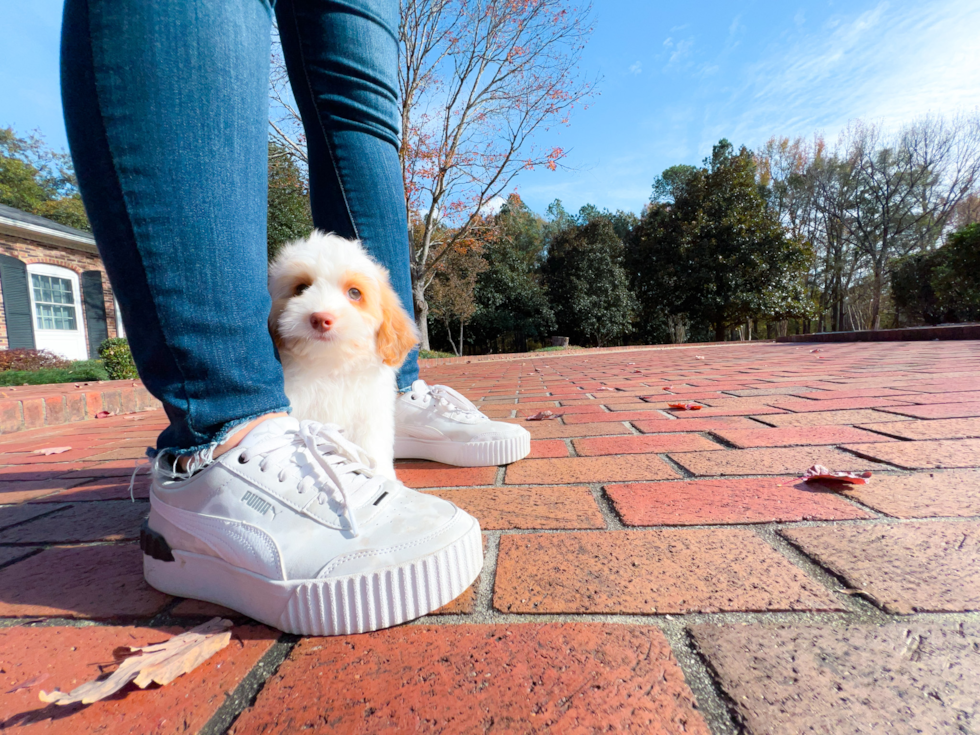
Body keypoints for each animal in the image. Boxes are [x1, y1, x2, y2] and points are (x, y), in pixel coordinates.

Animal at [270, 233, 420, 480]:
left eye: (355, 293)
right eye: (301, 288)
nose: (320, 318)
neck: (331, 365)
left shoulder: (370, 416)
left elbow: (374, 450)